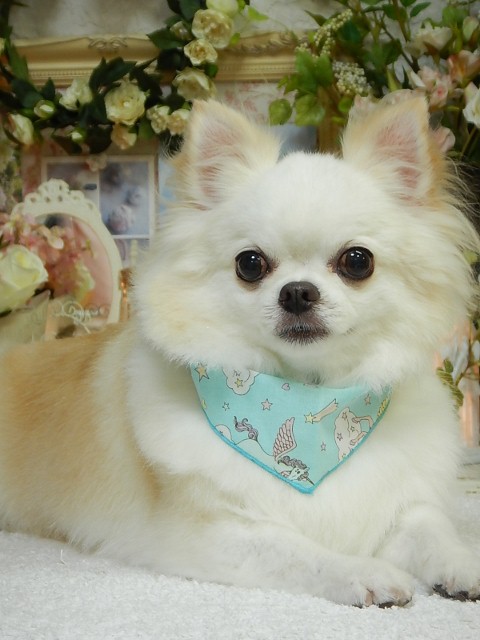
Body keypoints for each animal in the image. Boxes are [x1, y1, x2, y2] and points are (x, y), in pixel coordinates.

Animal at [0, 97, 479, 607]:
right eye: (250, 264)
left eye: (357, 261)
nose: (297, 292)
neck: (306, 392)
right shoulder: (212, 533)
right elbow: (299, 550)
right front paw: (362, 571)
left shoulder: (403, 506)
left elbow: (432, 529)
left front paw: (463, 564)